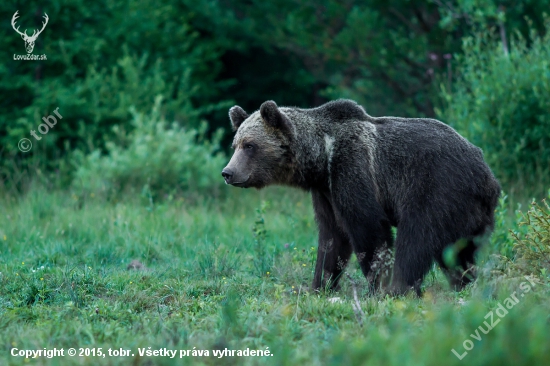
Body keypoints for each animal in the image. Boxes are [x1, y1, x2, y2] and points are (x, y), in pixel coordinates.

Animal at [222, 99, 502, 294]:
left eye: (250, 145)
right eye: (235, 144)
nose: (228, 172)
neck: (321, 159)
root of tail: (487, 175)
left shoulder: (352, 169)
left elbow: (368, 230)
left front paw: (377, 286)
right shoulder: (326, 192)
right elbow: (332, 239)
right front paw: (320, 286)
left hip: (436, 188)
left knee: (417, 237)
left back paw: (400, 288)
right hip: (470, 212)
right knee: (460, 251)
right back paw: (464, 283)